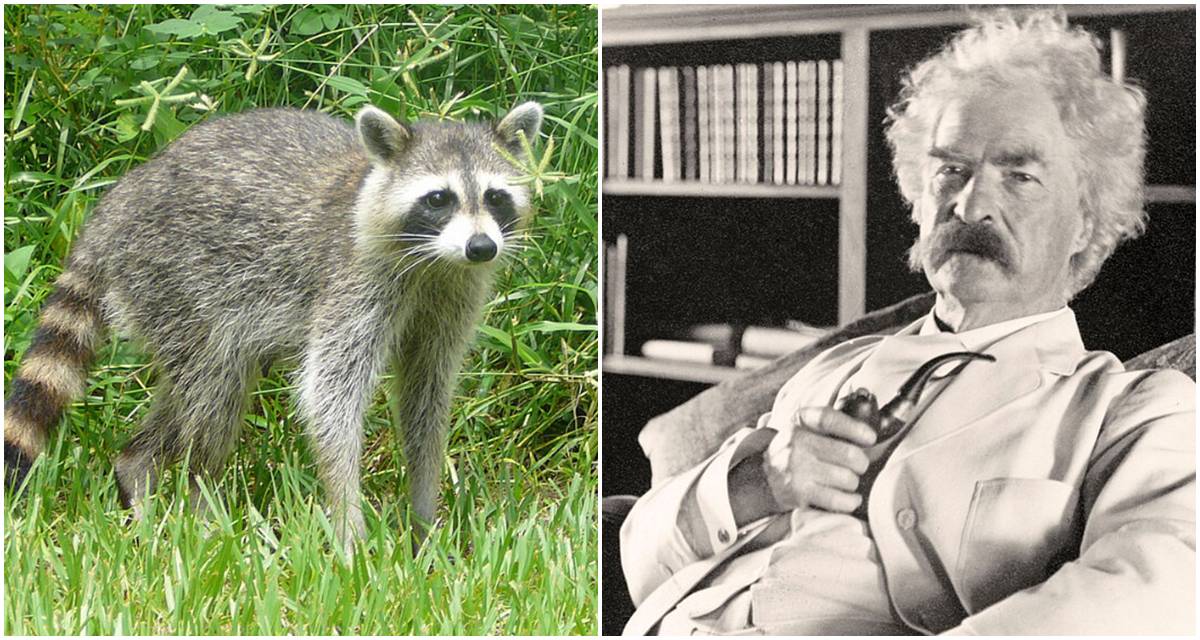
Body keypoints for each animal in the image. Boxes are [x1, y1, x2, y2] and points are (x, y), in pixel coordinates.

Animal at [3, 101, 543, 549]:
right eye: (438, 198)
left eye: (495, 197)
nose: (481, 247)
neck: (434, 262)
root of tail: (122, 198)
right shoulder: (352, 281)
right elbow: (330, 396)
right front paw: (349, 522)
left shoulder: (453, 295)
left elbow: (425, 398)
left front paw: (423, 519)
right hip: (176, 283)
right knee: (214, 396)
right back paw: (200, 499)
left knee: (196, 394)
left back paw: (138, 468)